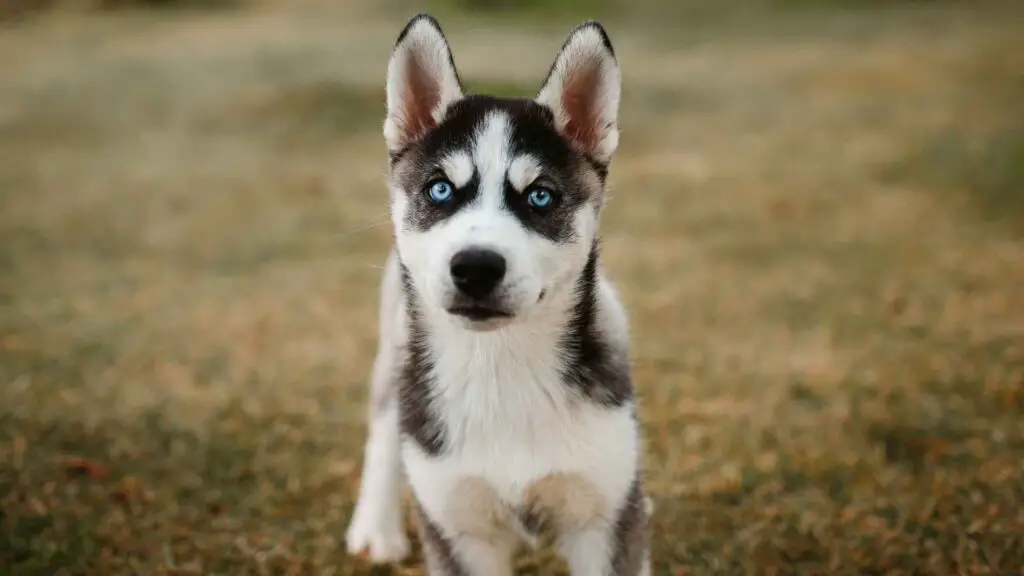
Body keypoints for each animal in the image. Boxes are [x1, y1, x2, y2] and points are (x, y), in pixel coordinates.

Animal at [344, 14, 647, 573]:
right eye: (440, 189)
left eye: (540, 196)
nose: (476, 267)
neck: (498, 364)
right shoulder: (459, 528)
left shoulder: (606, 515)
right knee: (384, 426)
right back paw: (376, 528)